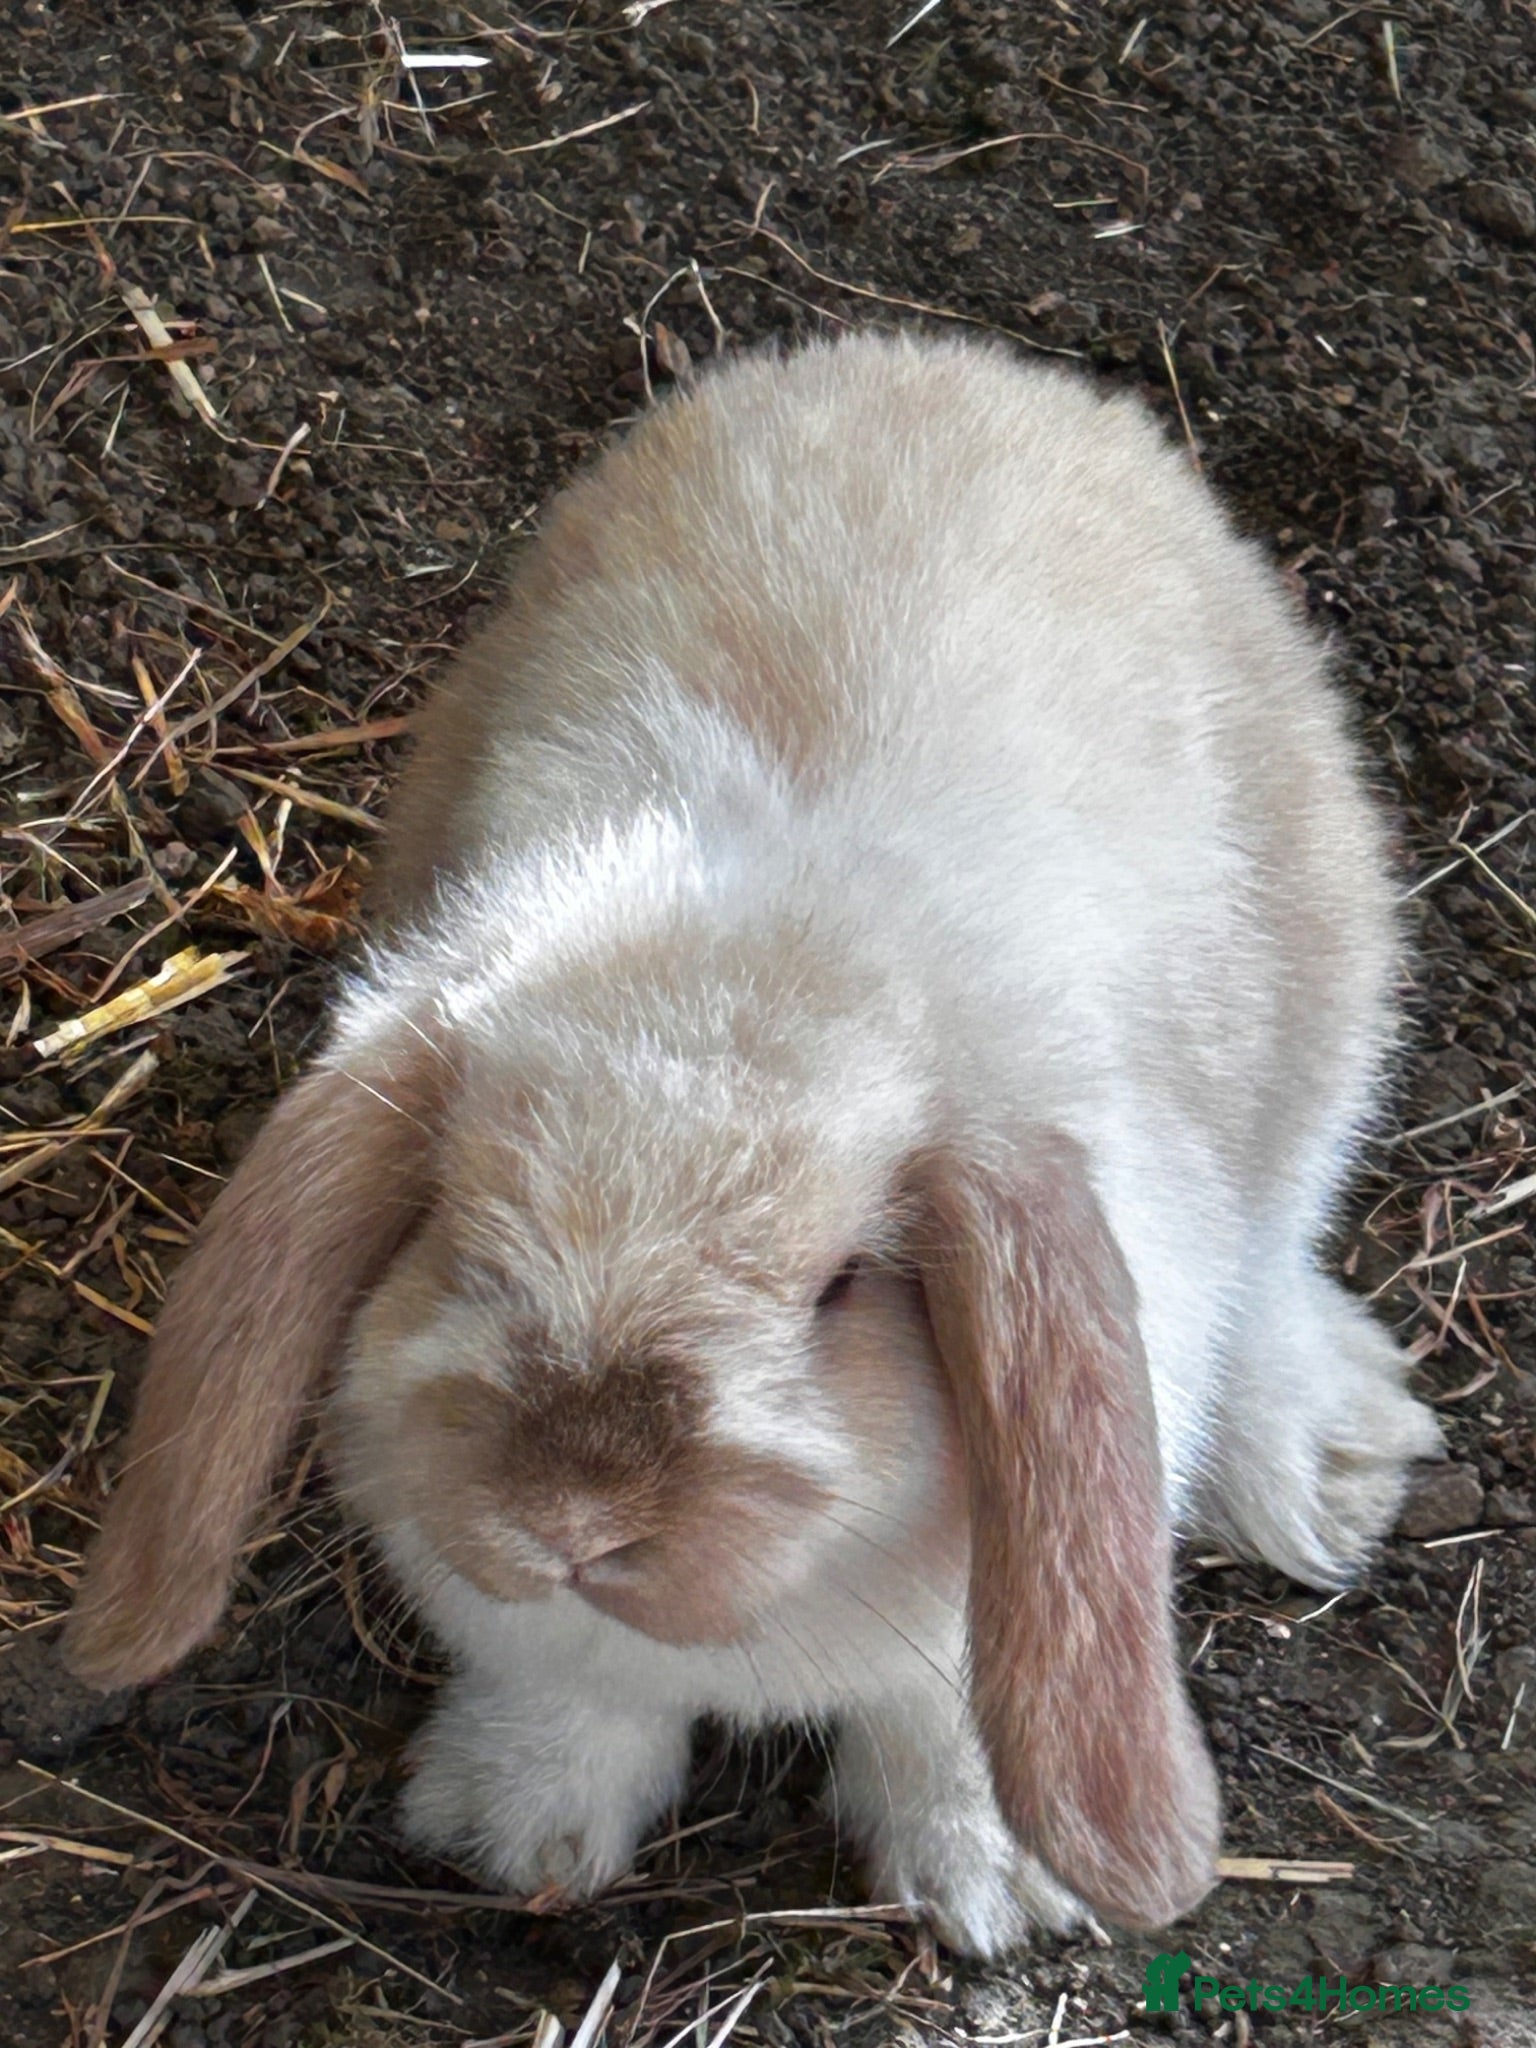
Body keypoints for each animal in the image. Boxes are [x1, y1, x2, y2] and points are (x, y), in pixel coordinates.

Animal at [63, 329, 1442, 1958]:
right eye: (462, 1233)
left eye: (840, 1287)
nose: (576, 1521)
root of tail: (952, 360)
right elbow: (566, 1693)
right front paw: (512, 1832)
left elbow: (950, 1721)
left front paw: (997, 1889)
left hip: (1333, 1002)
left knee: (1283, 1239)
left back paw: (1327, 1462)